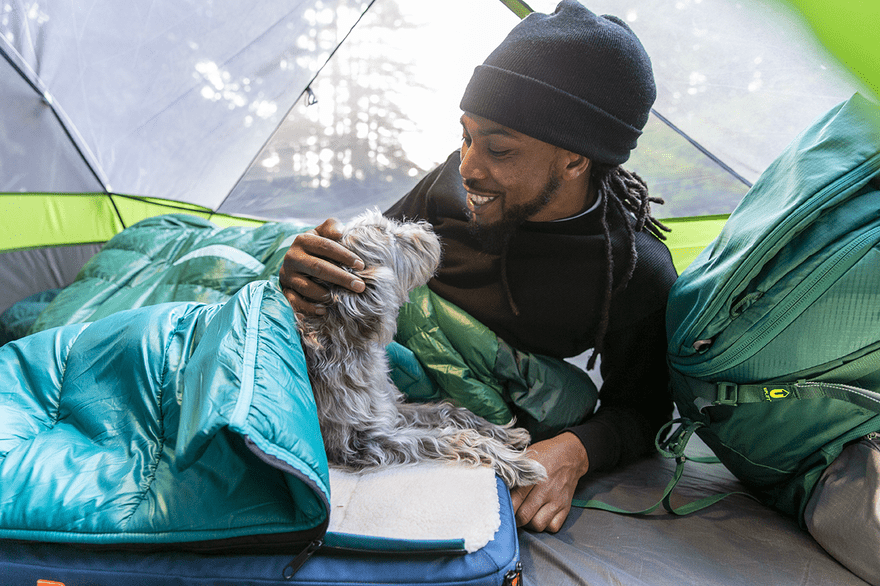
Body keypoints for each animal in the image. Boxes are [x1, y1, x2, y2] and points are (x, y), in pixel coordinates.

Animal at [296, 210, 544, 488]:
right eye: (386, 233)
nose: (427, 226)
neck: (348, 341)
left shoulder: (389, 408)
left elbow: (448, 410)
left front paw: (505, 433)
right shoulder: (361, 444)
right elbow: (450, 437)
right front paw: (518, 464)